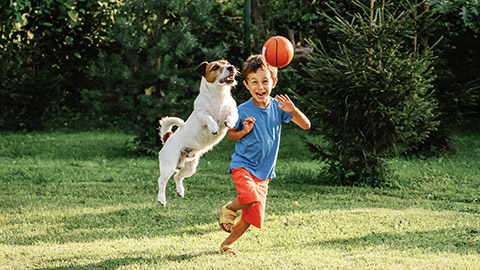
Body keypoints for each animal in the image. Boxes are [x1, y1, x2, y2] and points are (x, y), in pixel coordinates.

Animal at [158, 59, 238, 207]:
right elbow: (208, 118)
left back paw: (180, 191)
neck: (219, 96)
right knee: (162, 181)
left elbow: (231, 116)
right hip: (169, 165)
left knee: (178, 176)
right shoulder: (201, 115)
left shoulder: (233, 112)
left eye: (227, 63)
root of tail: (168, 138)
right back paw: (161, 199)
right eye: (215, 67)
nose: (231, 67)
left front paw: (228, 122)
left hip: (190, 167)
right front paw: (213, 127)